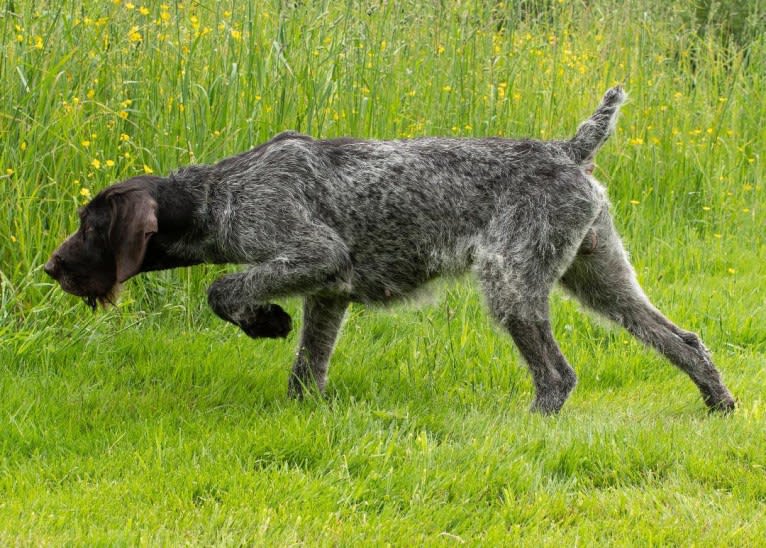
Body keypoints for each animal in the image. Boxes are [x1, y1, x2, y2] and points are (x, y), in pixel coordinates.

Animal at [43, 84, 736, 412]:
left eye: (90, 225)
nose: (50, 267)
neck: (220, 192)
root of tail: (569, 150)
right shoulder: (328, 293)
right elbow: (308, 366)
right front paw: (302, 412)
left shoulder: (313, 255)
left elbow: (224, 287)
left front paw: (264, 321)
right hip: (600, 277)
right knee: (682, 340)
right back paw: (718, 403)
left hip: (511, 284)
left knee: (557, 375)